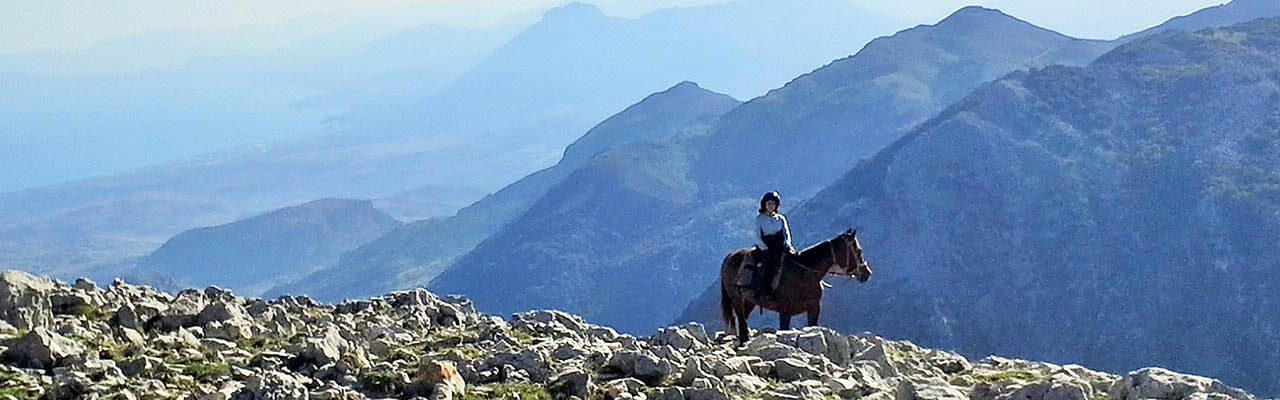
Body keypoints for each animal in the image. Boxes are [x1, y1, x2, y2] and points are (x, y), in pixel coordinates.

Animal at [721, 229, 870, 346]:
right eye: (859, 250)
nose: (867, 273)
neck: (805, 272)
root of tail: (729, 256)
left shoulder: (814, 308)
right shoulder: (785, 311)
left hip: (749, 301)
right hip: (736, 298)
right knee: (740, 318)